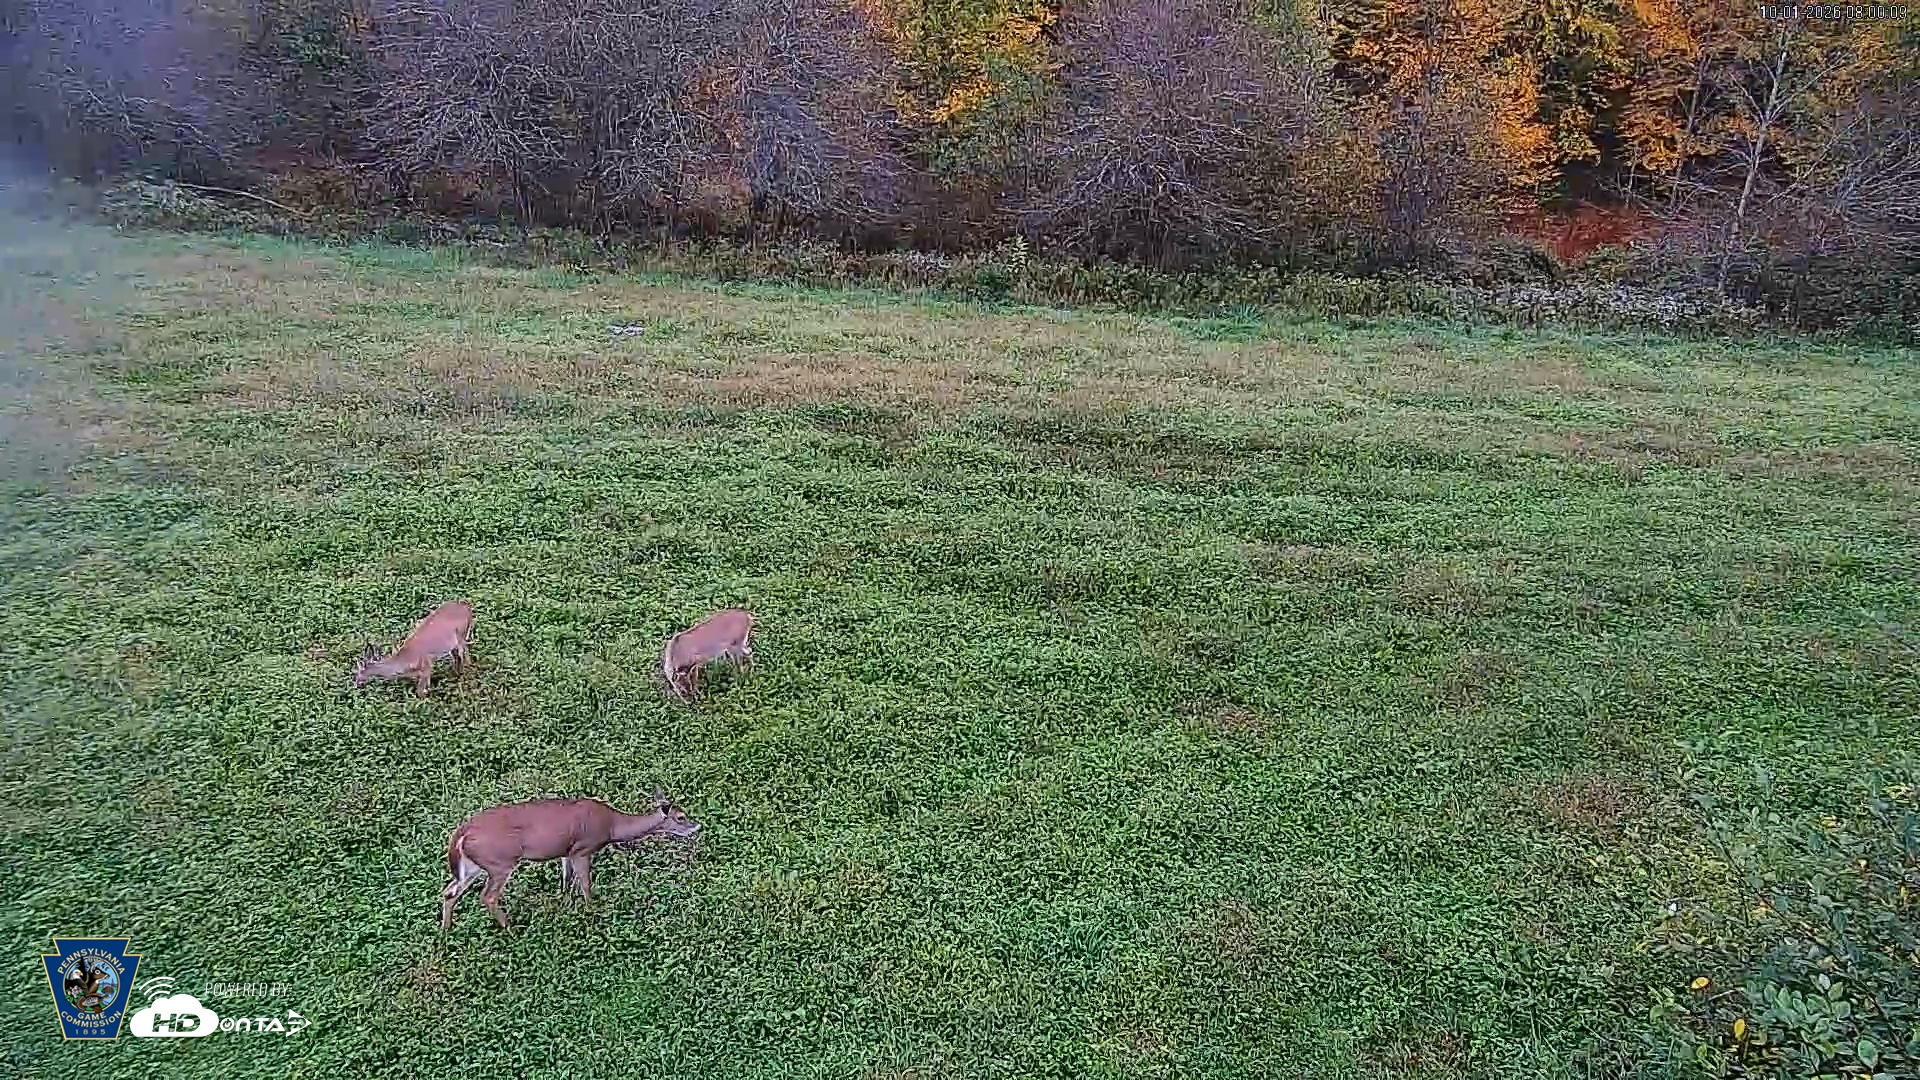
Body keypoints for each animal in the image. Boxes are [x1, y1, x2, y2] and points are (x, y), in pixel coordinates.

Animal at [440, 790, 702, 931]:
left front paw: (565, 906)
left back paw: (446, 930)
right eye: (681, 816)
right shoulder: (582, 849)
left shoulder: (566, 851)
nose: (696, 826)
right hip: (500, 862)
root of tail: (461, 834)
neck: (612, 827)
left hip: (473, 866)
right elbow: (586, 884)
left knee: (450, 891)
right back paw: (510, 929)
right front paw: (592, 913)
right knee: (488, 896)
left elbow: (567, 881)